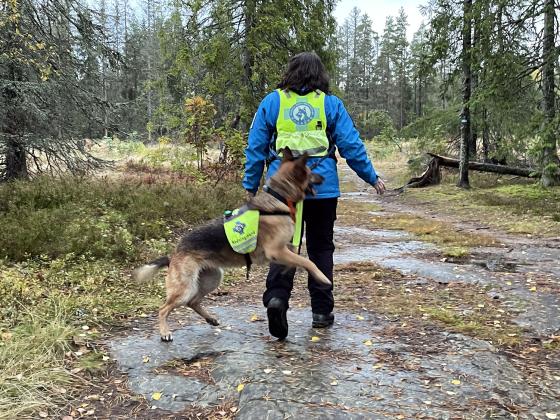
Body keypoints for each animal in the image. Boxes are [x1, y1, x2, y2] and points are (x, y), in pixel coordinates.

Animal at [133, 148, 330, 342]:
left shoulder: (283, 250)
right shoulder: (276, 251)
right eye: (311, 172)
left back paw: (210, 318)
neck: (279, 197)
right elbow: (308, 261)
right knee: (164, 308)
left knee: (193, 302)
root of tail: (175, 253)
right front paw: (322, 277)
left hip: (211, 280)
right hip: (186, 288)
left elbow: (296, 258)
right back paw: (164, 332)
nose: (324, 177)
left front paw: (288, 269)